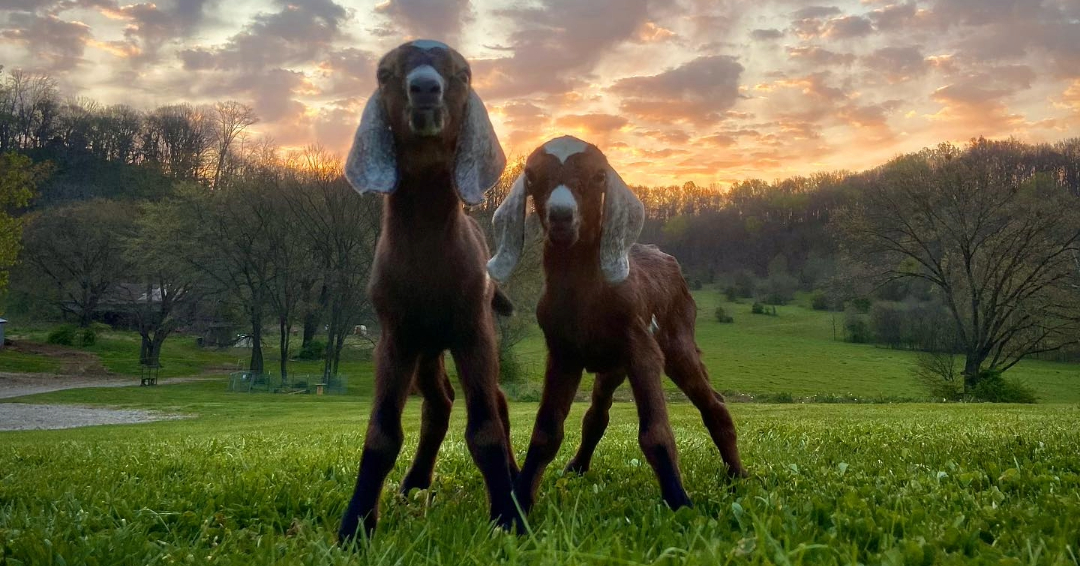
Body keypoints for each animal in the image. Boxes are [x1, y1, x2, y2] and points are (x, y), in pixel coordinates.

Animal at [488, 136, 743, 511]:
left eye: (598, 177)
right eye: (532, 177)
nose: (562, 215)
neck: (584, 294)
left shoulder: (641, 346)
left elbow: (656, 433)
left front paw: (679, 502)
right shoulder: (563, 353)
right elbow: (546, 431)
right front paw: (516, 506)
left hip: (677, 340)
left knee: (714, 404)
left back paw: (738, 477)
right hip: (611, 367)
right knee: (597, 415)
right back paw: (576, 468)